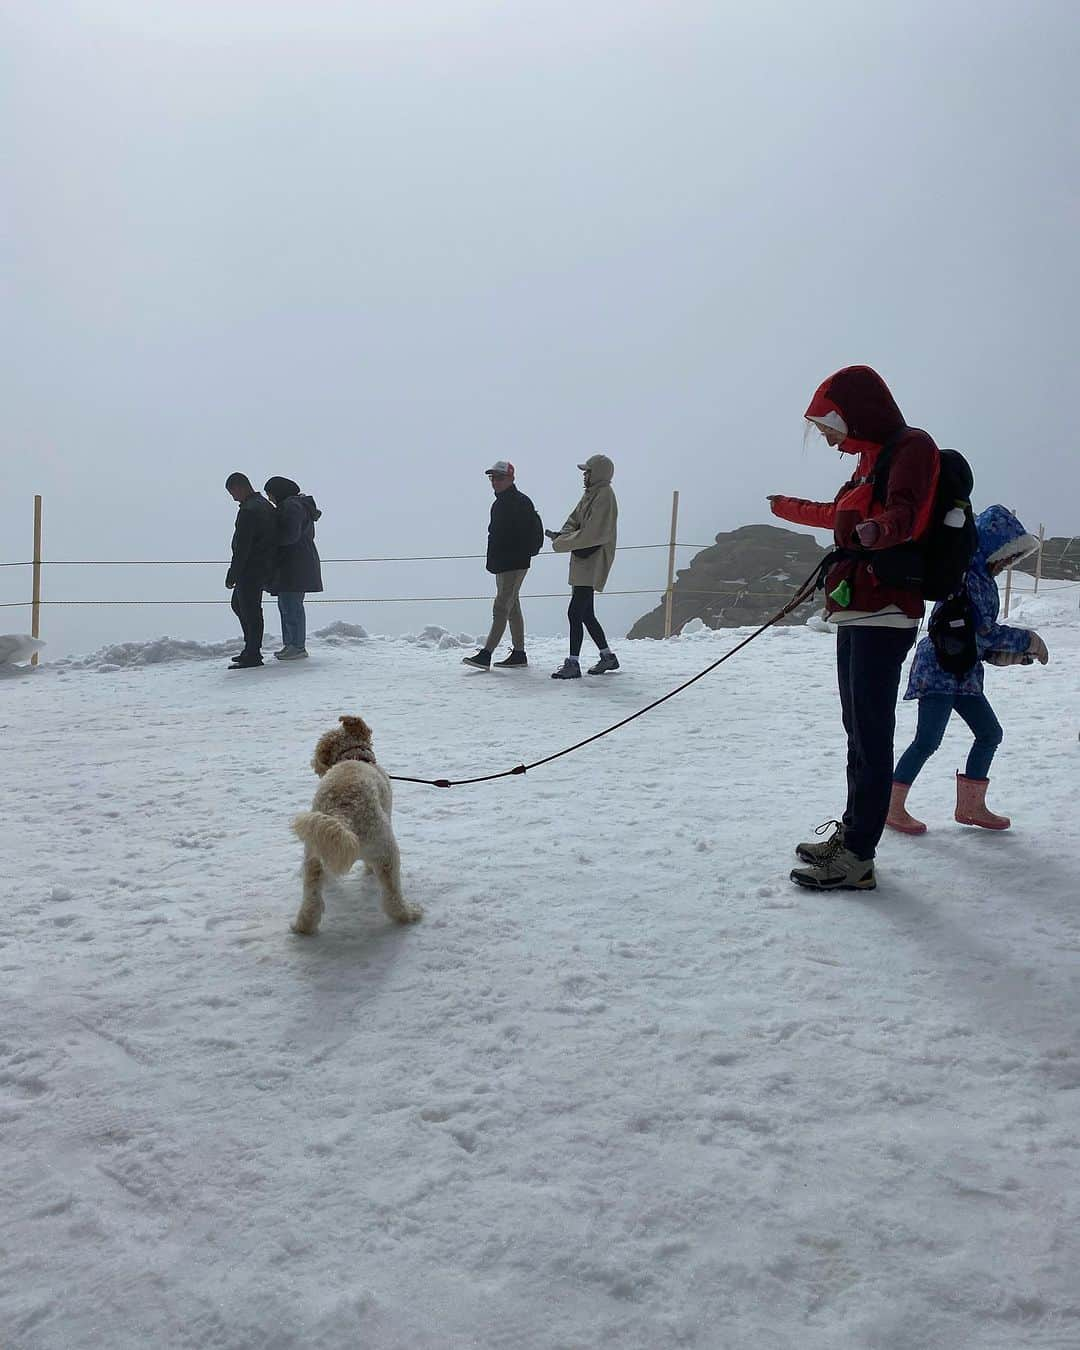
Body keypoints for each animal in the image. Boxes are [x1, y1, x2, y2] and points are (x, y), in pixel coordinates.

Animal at [291, 712, 421, 934]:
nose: (313, 763)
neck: (354, 758)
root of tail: (343, 812)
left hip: (313, 855)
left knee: (311, 900)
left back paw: (303, 927)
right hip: (385, 848)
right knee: (392, 897)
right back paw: (409, 915)